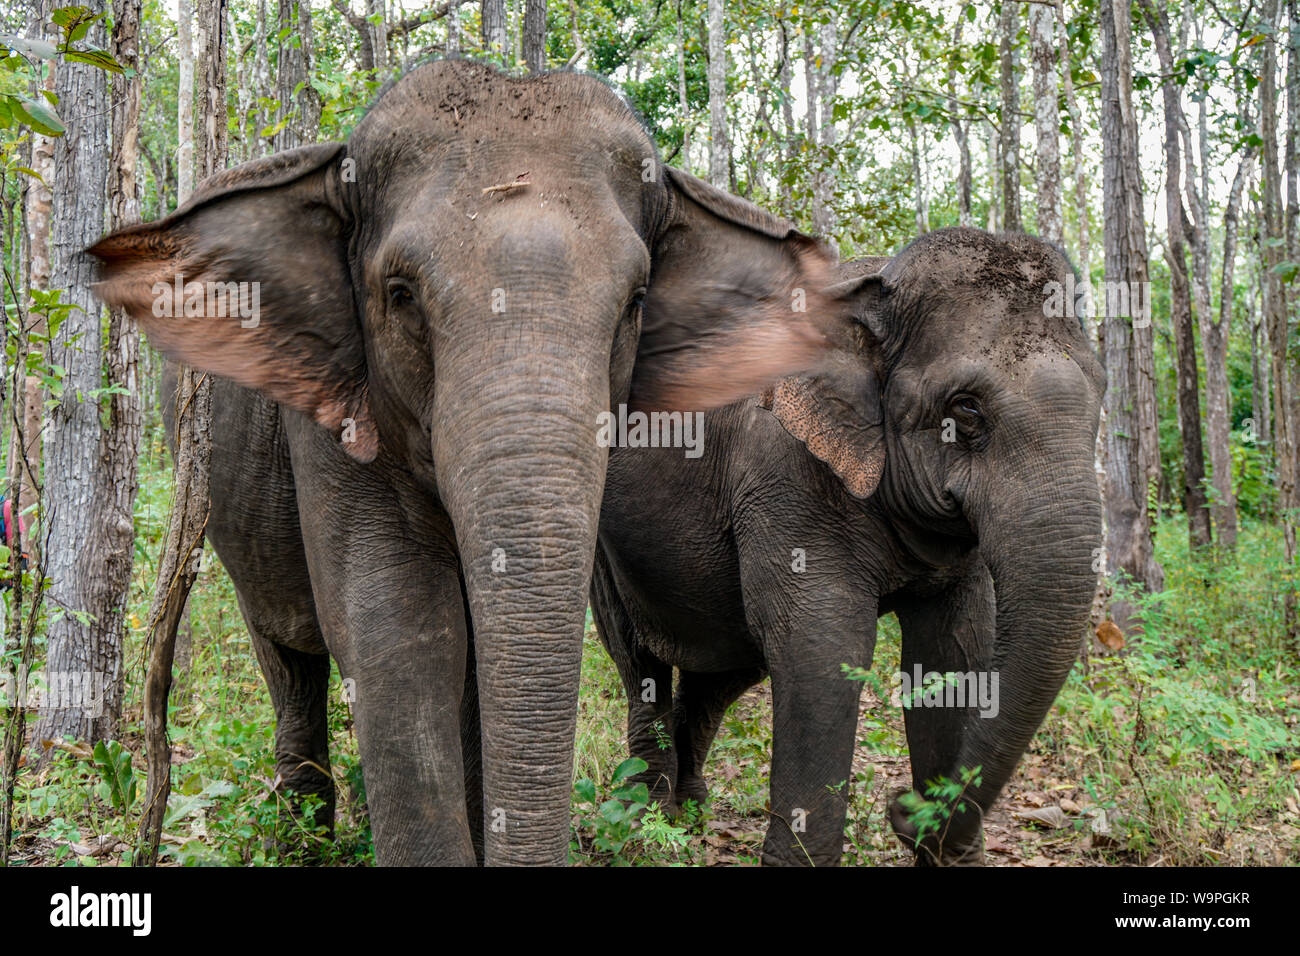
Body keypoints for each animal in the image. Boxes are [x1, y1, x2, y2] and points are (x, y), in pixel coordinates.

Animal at [89, 59, 852, 868]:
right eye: (399, 294)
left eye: (637, 300)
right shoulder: (337, 409)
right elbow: (401, 625)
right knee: (288, 650)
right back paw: (304, 838)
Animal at [595, 226, 1102, 868]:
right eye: (966, 408)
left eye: (1102, 396)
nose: (902, 809)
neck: (875, 290)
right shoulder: (785, 478)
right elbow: (823, 647)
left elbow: (955, 649)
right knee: (640, 660)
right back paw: (646, 821)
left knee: (724, 668)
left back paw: (688, 811)